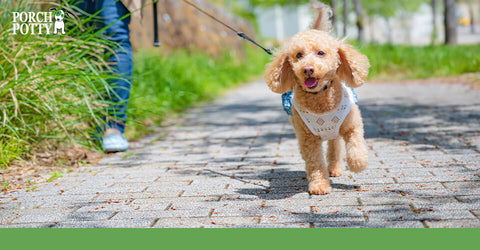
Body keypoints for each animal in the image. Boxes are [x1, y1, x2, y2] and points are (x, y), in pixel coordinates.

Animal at [264, 2, 370, 195]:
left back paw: (335, 169)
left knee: (335, 146)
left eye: (321, 53)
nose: (308, 69)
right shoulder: (309, 139)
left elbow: (355, 146)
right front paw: (319, 185)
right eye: (299, 55)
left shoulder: (352, 125)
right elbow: (315, 163)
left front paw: (358, 163)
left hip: (337, 130)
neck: (321, 99)